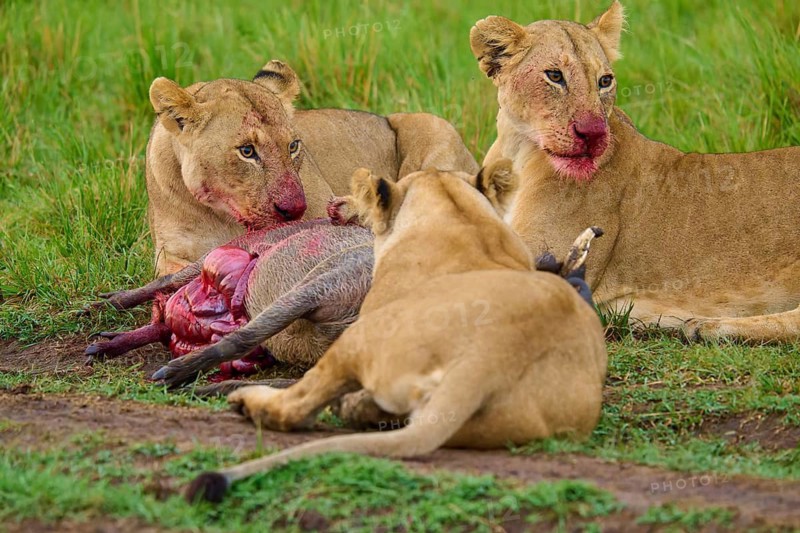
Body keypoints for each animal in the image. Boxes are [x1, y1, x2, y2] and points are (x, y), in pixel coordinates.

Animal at [147, 59, 478, 275]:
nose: (294, 209)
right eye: (247, 151)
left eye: (293, 146)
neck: (222, 216)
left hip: (433, 128)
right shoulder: (169, 254)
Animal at [183, 161, 607, 503]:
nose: (335, 208)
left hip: (359, 337)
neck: (459, 216)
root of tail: (489, 360)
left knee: (296, 408)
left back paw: (246, 401)